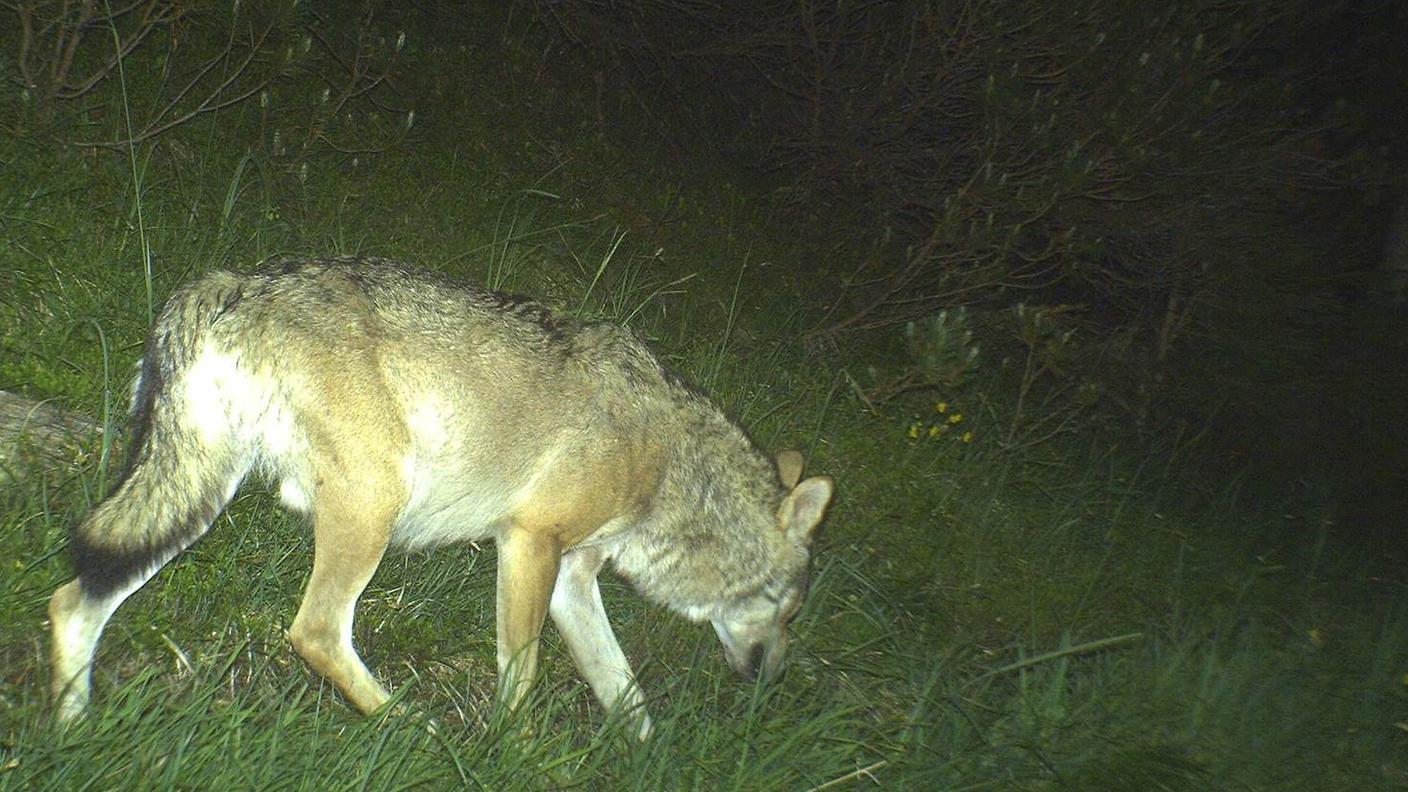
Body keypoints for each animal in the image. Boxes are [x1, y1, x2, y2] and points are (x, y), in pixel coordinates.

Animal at [48, 257, 833, 739]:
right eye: (789, 610)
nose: (774, 684)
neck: (670, 463)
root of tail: (236, 281)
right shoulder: (530, 544)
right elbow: (522, 674)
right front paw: (512, 752)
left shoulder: (573, 578)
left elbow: (625, 695)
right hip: (371, 503)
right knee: (314, 630)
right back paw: (407, 728)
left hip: (192, 496)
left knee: (73, 598)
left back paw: (70, 731)